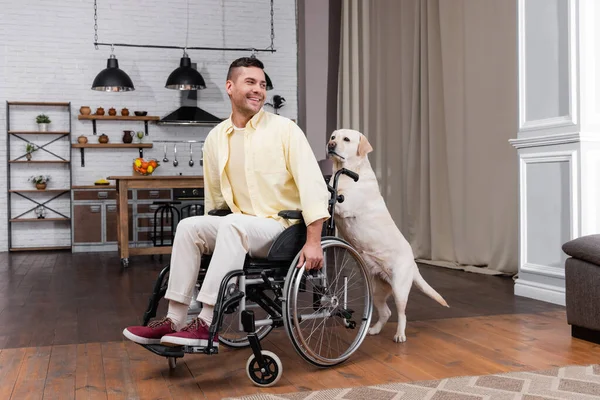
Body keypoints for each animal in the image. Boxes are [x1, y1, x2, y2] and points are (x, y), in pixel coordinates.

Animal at [326, 130, 448, 342]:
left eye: (346, 139)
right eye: (333, 136)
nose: (330, 144)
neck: (350, 173)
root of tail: (413, 263)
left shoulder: (344, 205)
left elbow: (331, 195)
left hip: (400, 289)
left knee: (401, 314)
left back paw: (400, 335)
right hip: (376, 290)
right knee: (386, 312)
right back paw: (374, 329)